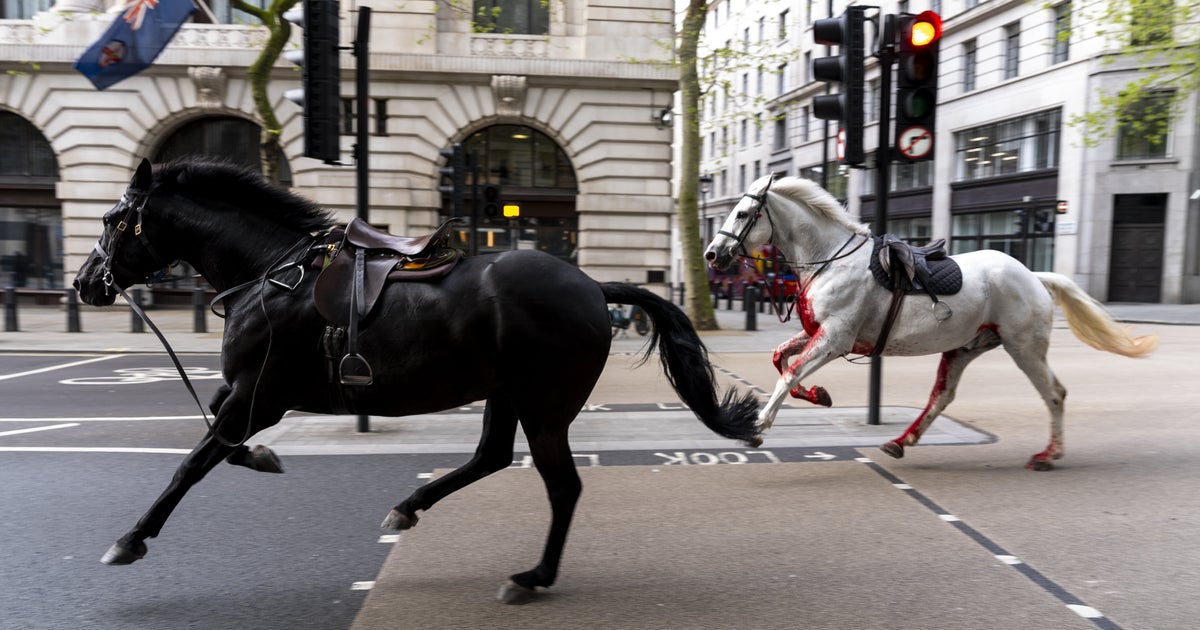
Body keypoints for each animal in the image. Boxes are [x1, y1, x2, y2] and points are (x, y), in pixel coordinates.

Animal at [72, 157, 761, 604]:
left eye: (112, 219)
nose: (83, 284)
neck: (272, 274)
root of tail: (593, 286)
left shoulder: (259, 395)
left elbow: (193, 462)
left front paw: (130, 539)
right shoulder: (247, 394)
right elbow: (218, 437)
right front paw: (264, 458)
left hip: (544, 406)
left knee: (562, 486)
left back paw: (532, 576)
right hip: (507, 394)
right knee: (490, 457)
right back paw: (410, 507)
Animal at [704, 174, 1158, 471]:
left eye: (742, 213)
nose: (711, 254)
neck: (830, 259)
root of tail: (1033, 275)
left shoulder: (835, 339)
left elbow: (789, 373)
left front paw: (757, 426)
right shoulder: (819, 333)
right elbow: (781, 359)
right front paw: (819, 395)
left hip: (1024, 347)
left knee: (1055, 394)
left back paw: (1049, 454)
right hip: (965, 347)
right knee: (942, 396)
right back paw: (901, 441)